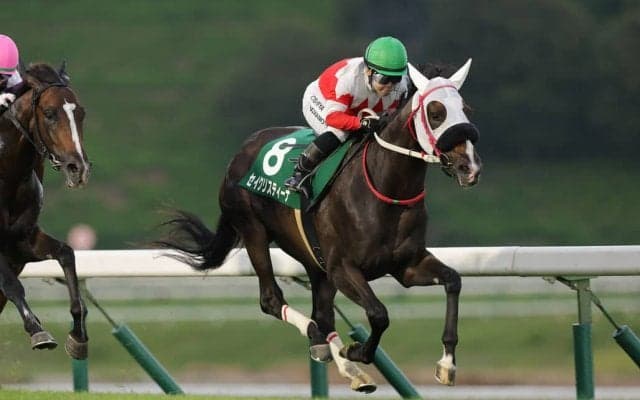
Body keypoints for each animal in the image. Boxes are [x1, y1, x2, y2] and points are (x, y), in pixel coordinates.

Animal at [0, 62, 91, 359]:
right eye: (49, 114)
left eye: (81, 113)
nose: (78, 168)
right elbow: (14, 286)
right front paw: (38, 331)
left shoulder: (22, 244)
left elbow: (67, 254)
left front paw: (78, 335)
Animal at [156, 60, 482, 391]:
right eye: (436, 112)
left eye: (466, 108)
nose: (470, 167)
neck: (385, 190)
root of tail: (240, 153)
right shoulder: (343, 268)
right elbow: (379, 314)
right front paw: (357, 351)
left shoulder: (407, 266)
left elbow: (453, 280)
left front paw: (447, 364)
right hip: (254, 232)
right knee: (274, 301)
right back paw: (322, 341)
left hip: (314, 260)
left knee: (322, 314)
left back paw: (347, 366)